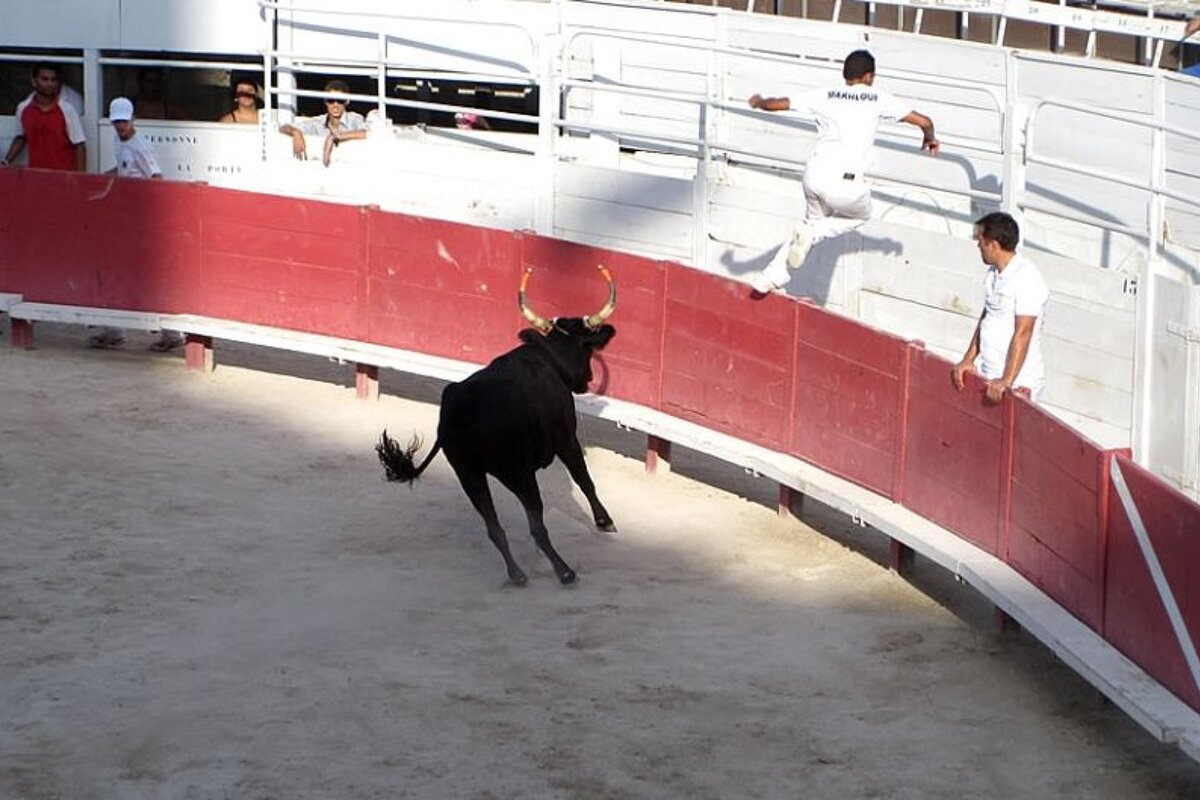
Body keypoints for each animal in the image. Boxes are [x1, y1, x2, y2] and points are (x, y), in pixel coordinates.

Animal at [376, 264, 617, 586]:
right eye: (588, 349)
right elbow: (584, 479)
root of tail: (458, 415)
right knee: (535, 526)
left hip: (469, 474)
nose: (586, 380)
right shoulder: (567, 439)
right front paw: (605, 522)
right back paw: (564, 571)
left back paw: (517, 574)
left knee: (494, 528)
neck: (547, 356)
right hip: (518, 474)